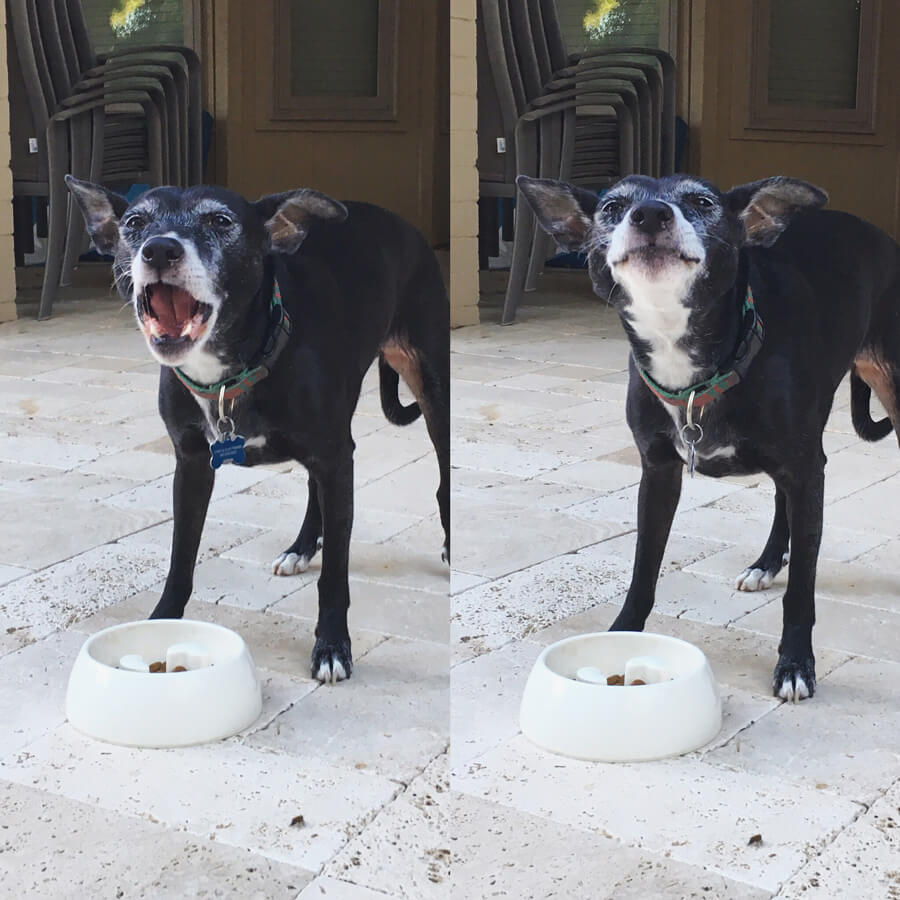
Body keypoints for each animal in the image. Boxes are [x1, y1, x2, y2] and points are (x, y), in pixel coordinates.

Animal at [67, 176, 450, 684]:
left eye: (221, 221)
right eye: (134, 222)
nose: (160, 250)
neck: (229, 374)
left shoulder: (334, 457)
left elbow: (335, 574)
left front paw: (332, 645)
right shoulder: (192, 464)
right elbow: (180, 556)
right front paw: (160, 623)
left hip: (431, 385)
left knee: (442, 474)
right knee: (314, 485)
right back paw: (303, 545)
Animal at [520, 172, 900, 700]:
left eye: (702, 201)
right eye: (614, 206)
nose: (651, 215)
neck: (695, 367)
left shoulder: (806, 471)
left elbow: (802, 589)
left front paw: (795, 663)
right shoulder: (659, 473)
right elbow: (643, 569)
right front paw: (619, 636)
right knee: (781, 497)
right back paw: (766, 562)